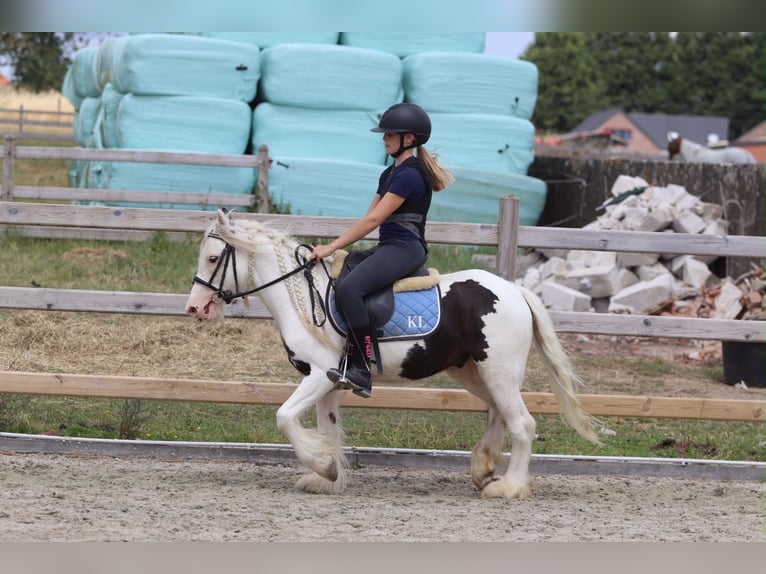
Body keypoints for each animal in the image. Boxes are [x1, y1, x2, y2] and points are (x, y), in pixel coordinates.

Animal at [185, 209, 601, 499]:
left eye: (212, 258)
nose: (194, 308)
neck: (305, 299)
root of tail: (516, 291)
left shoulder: (318, 374)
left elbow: (284, 417)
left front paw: (323, 466)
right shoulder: (329, 382)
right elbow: (328, 427)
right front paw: (328, 478)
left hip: (498, 371)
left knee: (522, 424)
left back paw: (509, 487)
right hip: (473, 373)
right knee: (500, 413)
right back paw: (483, 469)